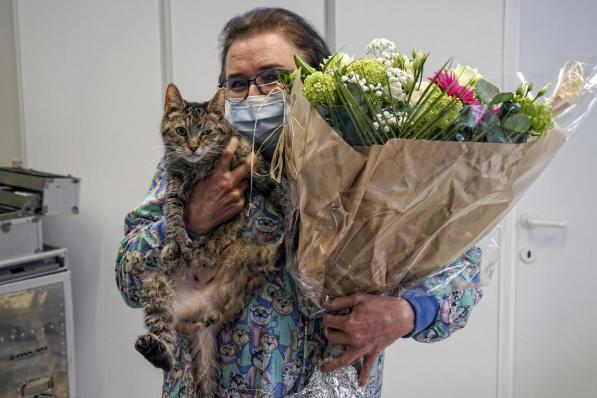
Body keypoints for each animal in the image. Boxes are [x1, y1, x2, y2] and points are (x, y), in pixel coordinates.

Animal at [136, 82, 284, 396]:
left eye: (205, 132)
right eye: (181, 131)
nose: (193, 146)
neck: (199, 166)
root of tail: (203, 315)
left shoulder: (254, 165)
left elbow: (276, 189)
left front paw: (292, 210)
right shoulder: (175, 182)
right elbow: (174, 213)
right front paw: (176, 242)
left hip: (251, 257)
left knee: (278, 256)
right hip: (155, 284)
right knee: (165, 343)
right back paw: (155, 349)